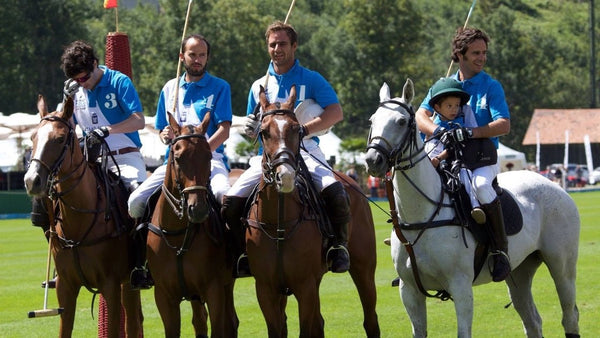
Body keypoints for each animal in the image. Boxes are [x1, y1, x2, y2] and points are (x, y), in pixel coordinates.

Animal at [24, 95, 142, 338]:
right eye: (32, 137)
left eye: (60, 139)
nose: (31, 181)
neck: (80, 221)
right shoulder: (65, 287)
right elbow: (64, 329)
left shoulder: (110, 284)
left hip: (129, 280)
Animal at [145, 112, 237, 336]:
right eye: (178, 158)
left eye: (209, 156)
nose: (199, 209)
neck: (177, 234)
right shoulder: (164, 295)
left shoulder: (214, 289)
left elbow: (219, 328)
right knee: (199, 322)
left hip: (226, 284)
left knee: (230, 322)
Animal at [245, 86, 380, 336]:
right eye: (264, 132)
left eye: (297, 129)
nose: (286, 176)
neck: (279, 223)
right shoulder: (266, 289)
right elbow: (279, 329)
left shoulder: (305, 285)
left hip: (364, 267)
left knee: (370, 319)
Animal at [364, 80, 580, 338]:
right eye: (372, 120)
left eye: (401, 121)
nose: (372, 160)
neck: (422, 216)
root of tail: (556, 186)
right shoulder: (409, 290)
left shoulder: (461, 286)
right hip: (520, 269)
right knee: (532, 321)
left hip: (562, 264)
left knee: (569, 315)